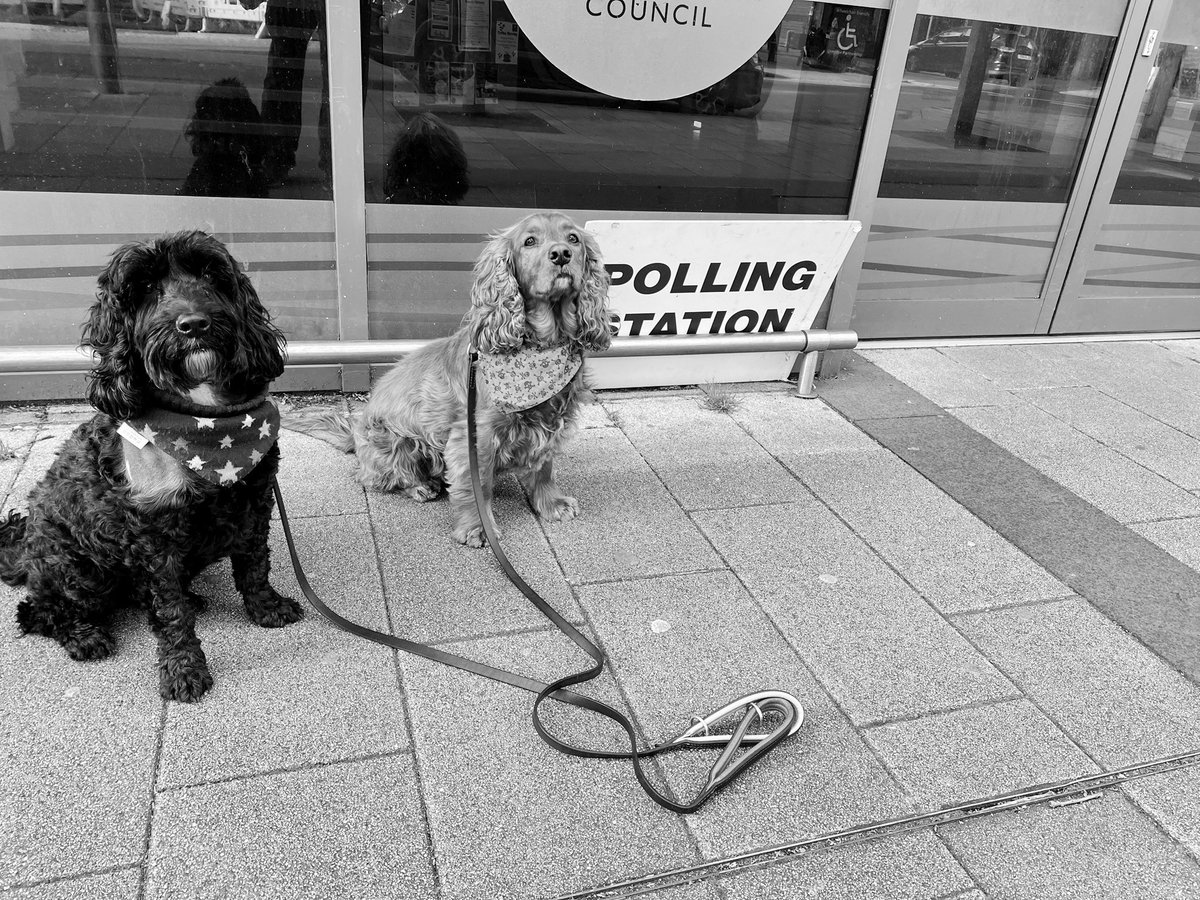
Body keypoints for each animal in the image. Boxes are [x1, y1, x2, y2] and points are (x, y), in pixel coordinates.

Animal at [1, 232, 300, 705]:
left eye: (211, 275)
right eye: (142, 288)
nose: (193, 325)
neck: (202, 417)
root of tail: (23, 549)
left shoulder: (255, 499)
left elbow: (254, 562)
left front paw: (266, 607)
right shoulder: (154, 533)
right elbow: (170, 610)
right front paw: (183, 668)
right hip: (77, 569)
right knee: (38, 611)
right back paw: (84, 635)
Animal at [285, 213, 614, 549]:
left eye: (573, 238)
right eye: (530, 241)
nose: (561, 254)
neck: (543, 346)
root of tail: (355, 434)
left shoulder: (551, 421)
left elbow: (544, 467)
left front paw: (551, 504)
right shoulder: (474, 436)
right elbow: (477, 486)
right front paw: (478, 528)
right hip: (395, 440)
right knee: (377, 477)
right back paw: (420, 486)